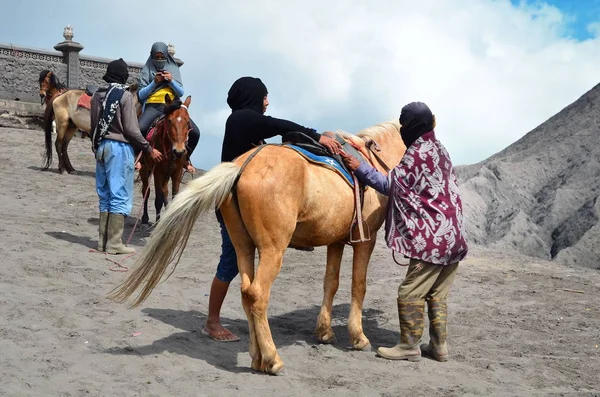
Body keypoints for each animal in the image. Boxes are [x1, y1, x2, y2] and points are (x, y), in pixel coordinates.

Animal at [110, 120, 406, 374]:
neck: (372, 162)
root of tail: (241, 167)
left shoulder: (335, 241)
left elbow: (330, 283)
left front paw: (324, 331)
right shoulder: (366, 240)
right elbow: (359, 285)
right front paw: (358, 337)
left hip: (243, 246)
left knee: (245, 293)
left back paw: (257, 357)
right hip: (273, 251)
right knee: (258, 295)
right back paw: (272, 359)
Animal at [138, 93, 192, 223]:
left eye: (187, 122)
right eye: (169, 121)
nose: (179, 151)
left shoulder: (177, 172)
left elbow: (173, 196)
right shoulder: (158, 172)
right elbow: (158, 200)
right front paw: (157, 223)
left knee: (164, 192)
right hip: (144, 169)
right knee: (146, 191)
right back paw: (145, 218)